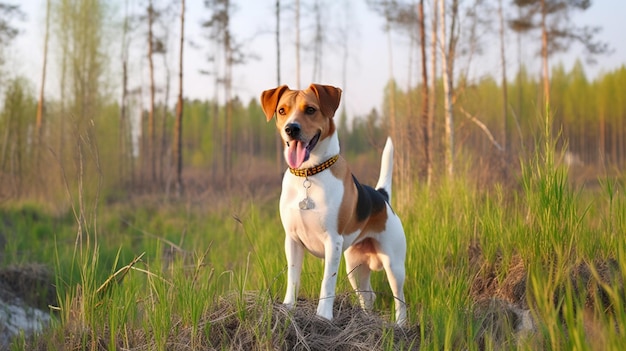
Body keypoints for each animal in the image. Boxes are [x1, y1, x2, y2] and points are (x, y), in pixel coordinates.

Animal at [260, 84, 408, 326]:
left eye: (310, 109)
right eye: (282, 110)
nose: (291, 128)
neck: (309, 174)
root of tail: (381, 196)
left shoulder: (333, 242)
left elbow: (327, 283)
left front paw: (324, 316)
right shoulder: (292, 240)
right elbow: (293, 278)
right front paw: (288, 308)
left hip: (394, 265)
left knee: (400, 300)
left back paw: (400, 326)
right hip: (355, 267)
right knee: (369, 296)